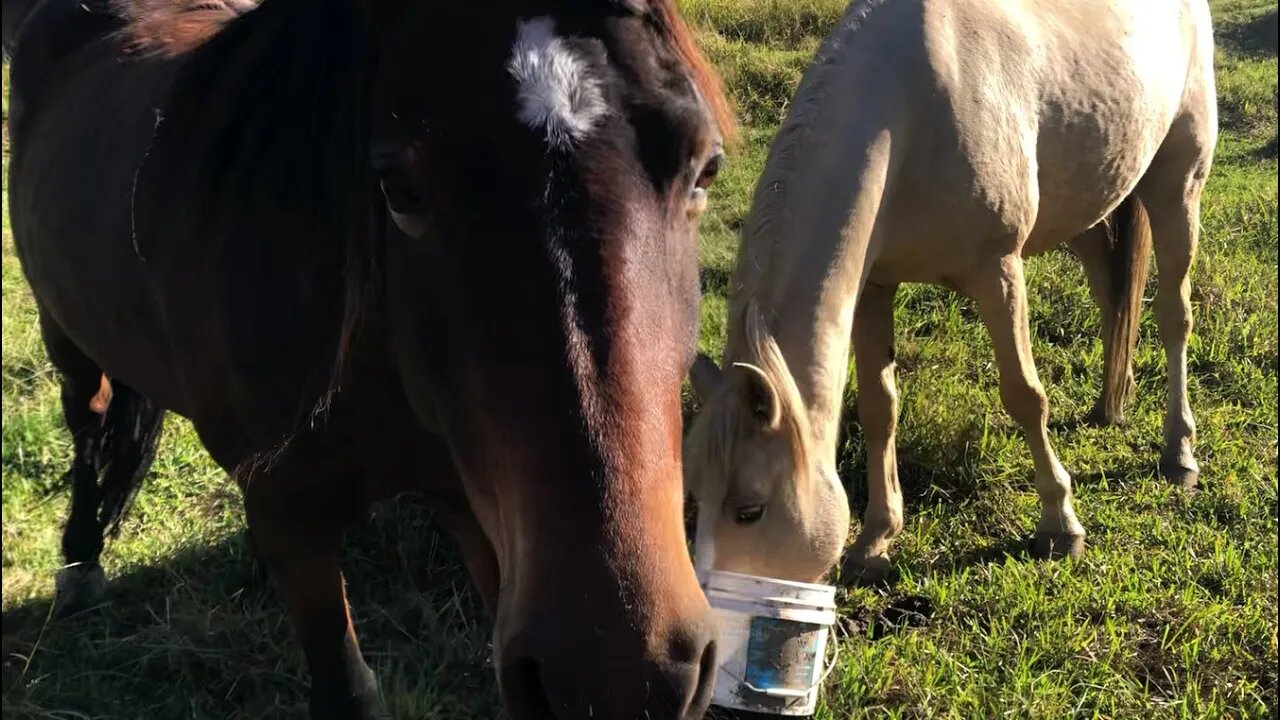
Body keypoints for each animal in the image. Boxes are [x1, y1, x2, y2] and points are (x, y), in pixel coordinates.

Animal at [5, 0, 737, 712]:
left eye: (706, 167)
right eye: (399, 188)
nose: (612, 673)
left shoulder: (478, 511)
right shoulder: (291, 513)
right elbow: (347, 690)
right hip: (63, 334)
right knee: (88, 421)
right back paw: (80, 562)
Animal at [686, 0, 1213, 584]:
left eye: (750, 511)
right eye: (693, 498)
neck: (908, 116)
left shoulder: (997, 271)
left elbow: (1025, 396)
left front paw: (1060, 524)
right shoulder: (875, 286)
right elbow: (879, 407)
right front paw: (875, 539)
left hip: (1178, 182)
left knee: (1173, 316)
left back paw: (1179, 453)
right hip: (1094, 199)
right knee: (1111, 296)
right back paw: (1109, 404)